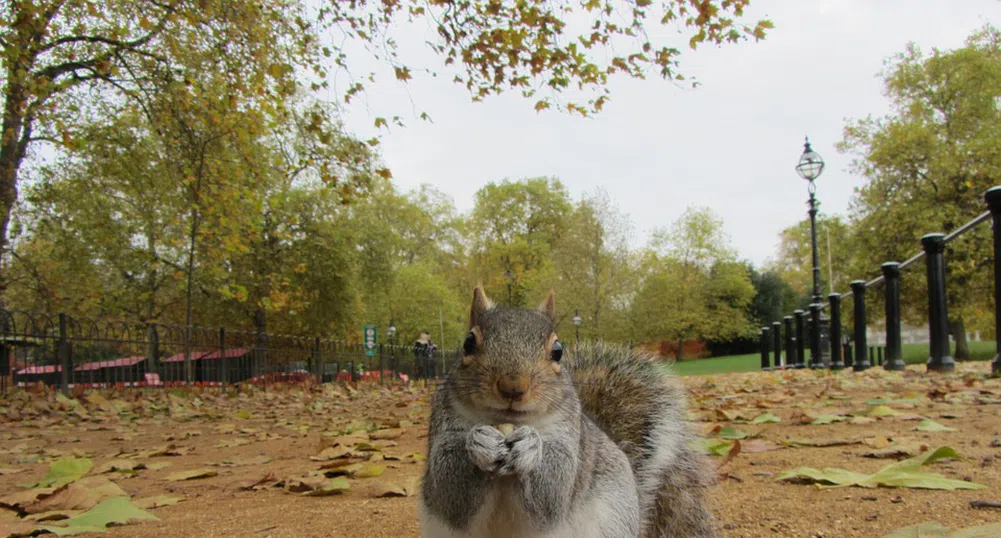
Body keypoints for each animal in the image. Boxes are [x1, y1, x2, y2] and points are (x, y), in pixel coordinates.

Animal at [418, 284, 716, 536]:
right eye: (468, 342)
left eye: (558, 351)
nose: (512, 387)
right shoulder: (444, 423)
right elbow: (450, 491)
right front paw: (479, 442)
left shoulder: (569, 436)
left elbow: (554, 491)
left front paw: (531, 447)